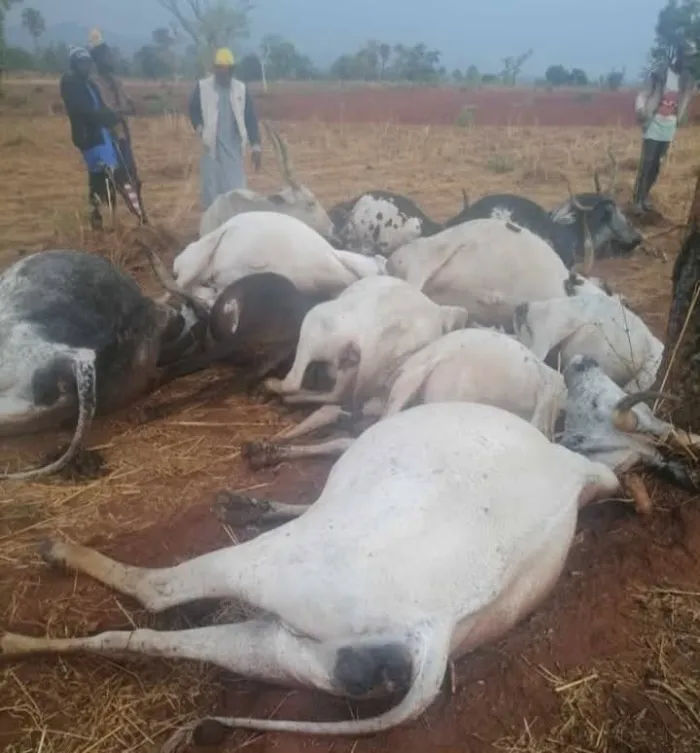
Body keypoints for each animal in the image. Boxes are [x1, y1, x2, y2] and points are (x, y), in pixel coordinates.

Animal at [0, 401, 621, 748]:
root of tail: (437, 629)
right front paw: (248, 499)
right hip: (285, 654)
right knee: (146, 638)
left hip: (273, 567)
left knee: (158, 595)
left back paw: (54, 560)